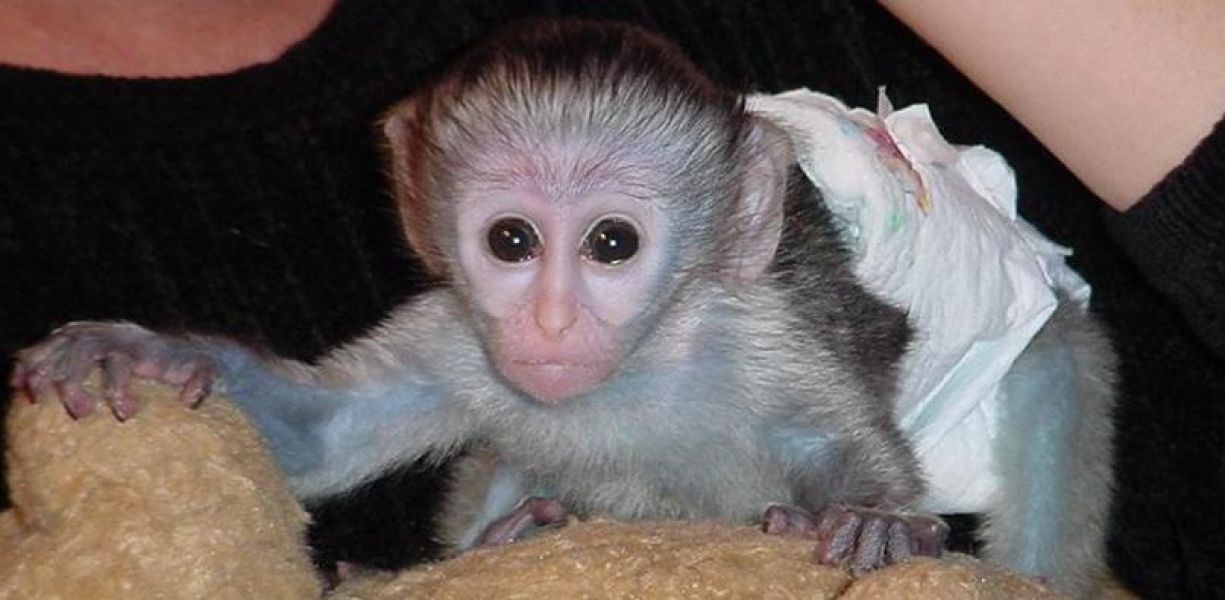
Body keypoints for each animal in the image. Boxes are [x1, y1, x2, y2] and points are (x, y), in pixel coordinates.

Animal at [10, 19, 1114, 595]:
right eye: (510, 242)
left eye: (611, 244)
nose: (545, 325)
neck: (634, 372)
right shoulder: (460, 338)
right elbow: (323, 439)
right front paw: (141, 352)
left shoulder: (754, 335)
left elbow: (843, 445)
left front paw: (871, 523)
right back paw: (505, 537)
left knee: (1056, 372)